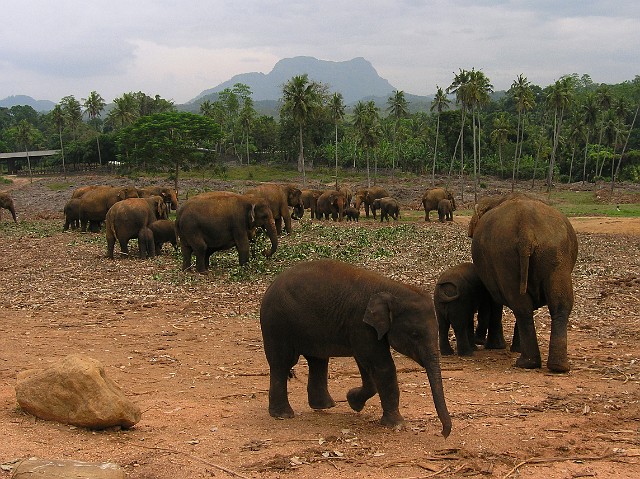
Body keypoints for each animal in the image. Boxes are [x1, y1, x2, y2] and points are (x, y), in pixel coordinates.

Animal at [464, 193, 580, 374]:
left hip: (511, 256)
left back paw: (527, 362)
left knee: (522, 306)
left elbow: (492, 299)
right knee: (552, 305)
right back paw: (554, 366)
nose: (478, 340)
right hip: (553, 255)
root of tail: (526, 231)